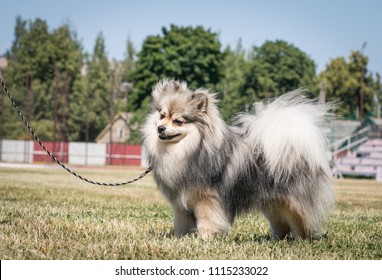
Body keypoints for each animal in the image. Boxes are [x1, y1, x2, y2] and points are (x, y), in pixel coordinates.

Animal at [141, 78, 334, 238]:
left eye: (178, 121)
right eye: (162, 115)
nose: (160, 128)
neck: (184, 150)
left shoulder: (207, 200)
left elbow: (207, 222)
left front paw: (205, 239)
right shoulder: (181, 205)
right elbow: (181, 224)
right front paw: (180, 238)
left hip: (294, 203)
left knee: (302, 223)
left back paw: (301, 240)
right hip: (273, 203)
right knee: (281, 224)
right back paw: (277, 240)